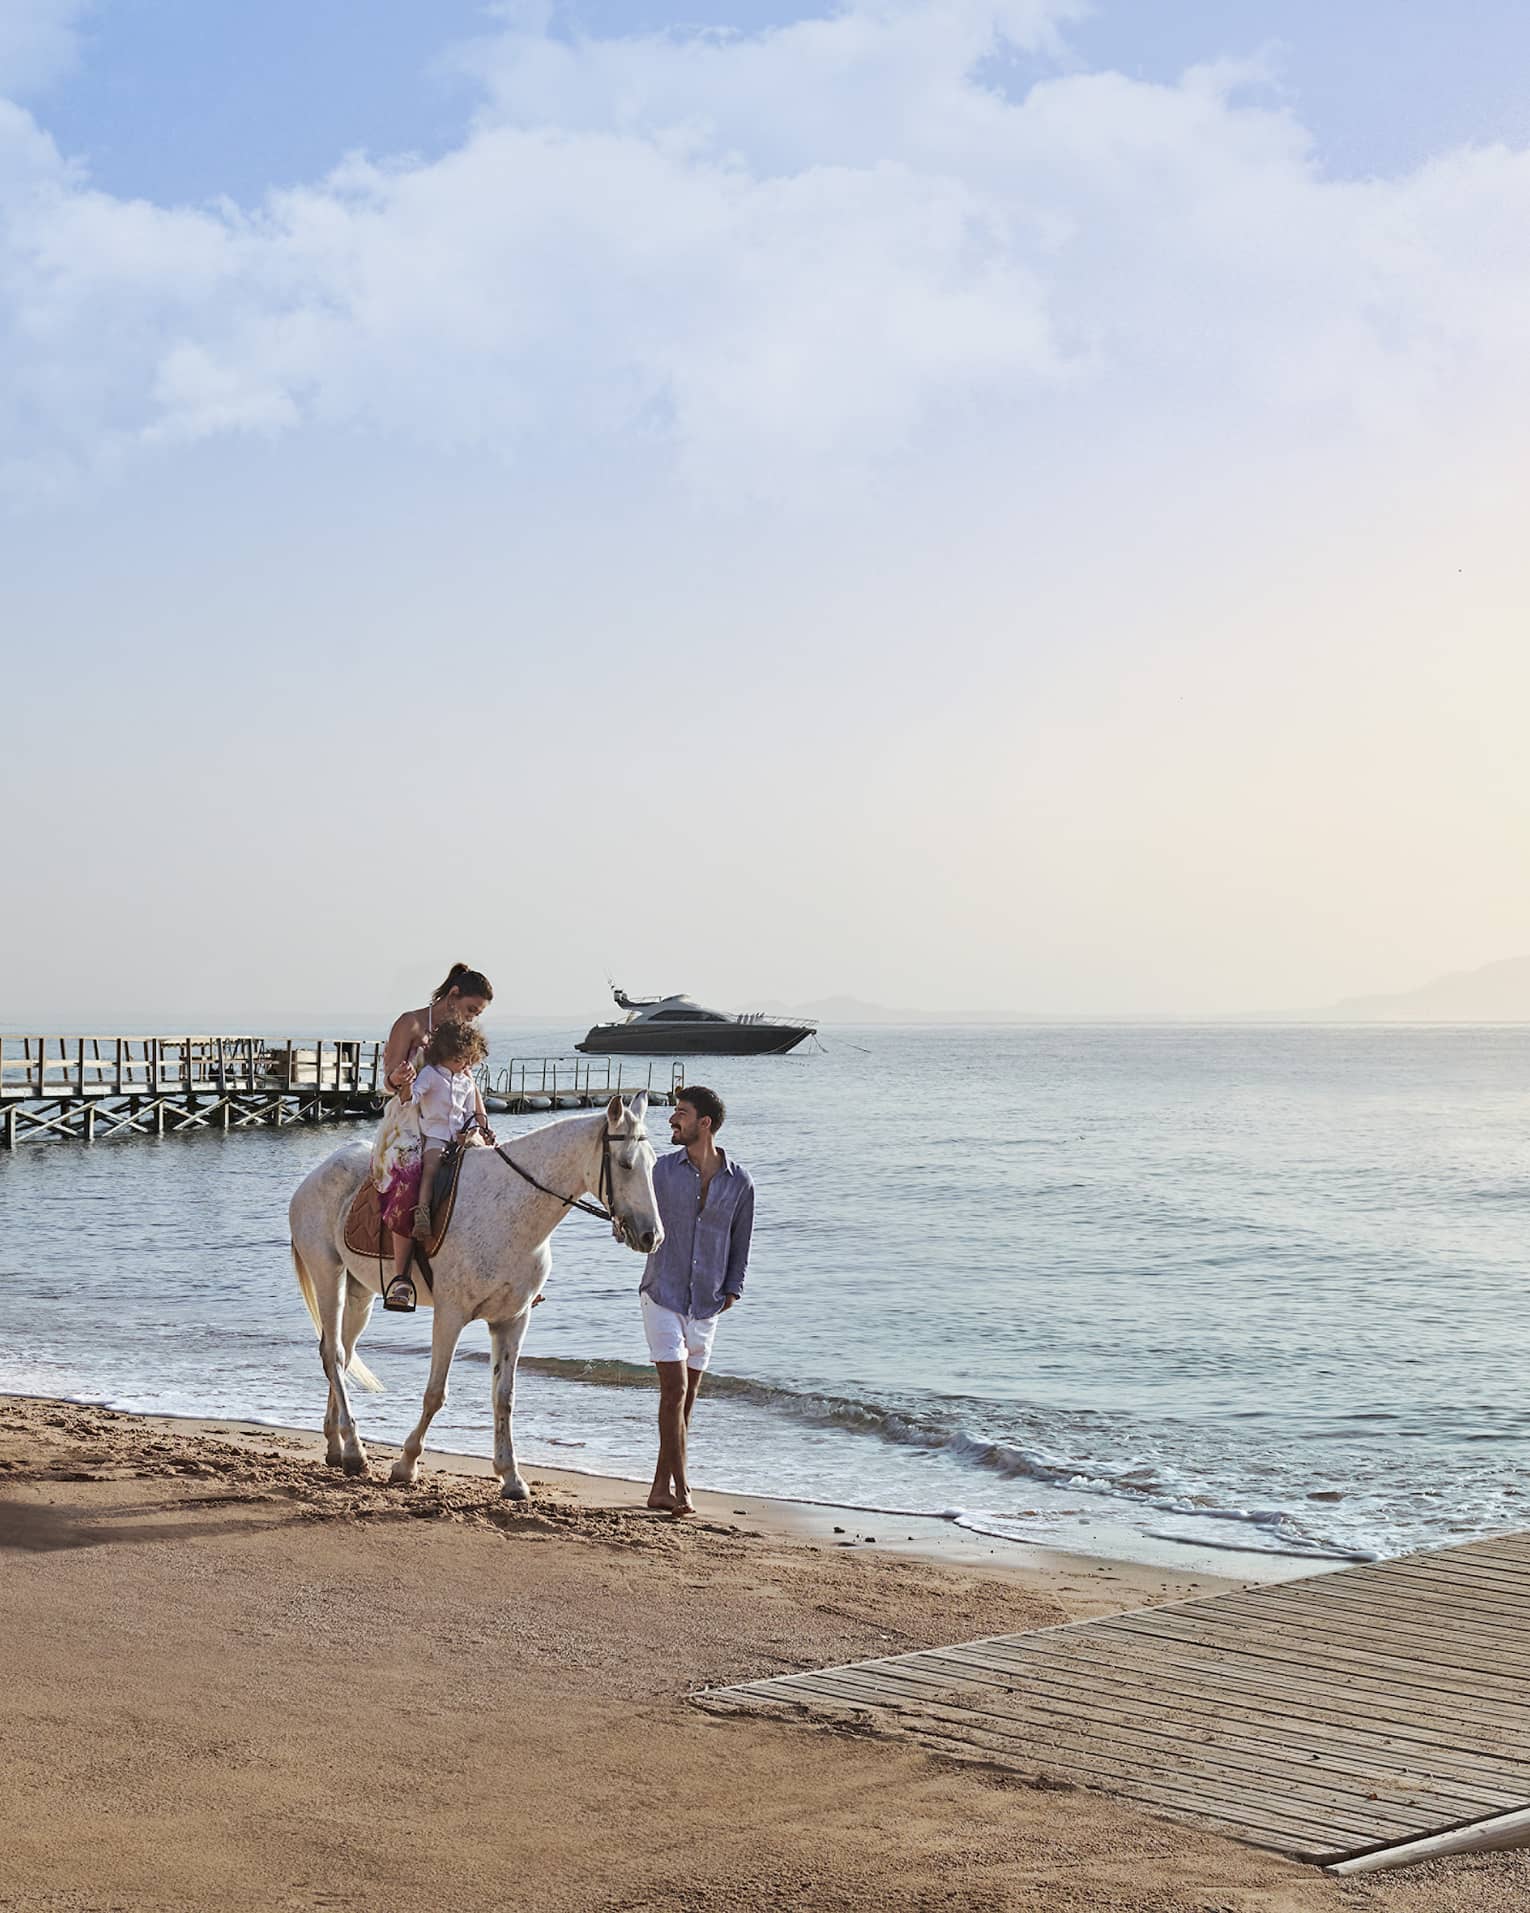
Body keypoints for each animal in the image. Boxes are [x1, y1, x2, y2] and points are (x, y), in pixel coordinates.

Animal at [287, 1093, 662, 1499]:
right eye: (625, 1164)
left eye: (653, 1163)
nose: (652, 1236)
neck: (511, 1209)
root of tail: (317, 1172)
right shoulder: (450, 1316)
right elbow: (436, 1393)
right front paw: (406, 1464)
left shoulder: (512, 1320)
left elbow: (504, 1397)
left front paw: (511, 1476)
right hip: (329, 1274)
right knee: (334, 1354)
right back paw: (355, 1450)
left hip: (359, 1292)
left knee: (340, 1353)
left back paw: (336, 1445)